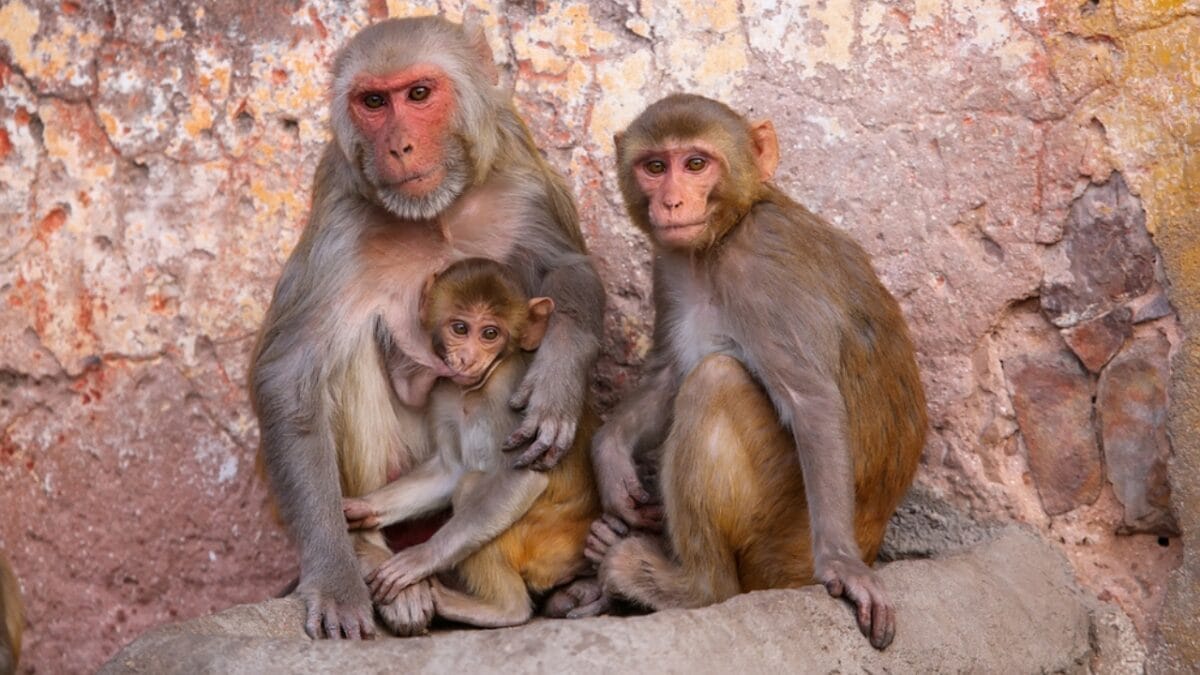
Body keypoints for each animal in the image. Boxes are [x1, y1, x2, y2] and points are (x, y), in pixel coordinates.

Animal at [342, 257, 600, 629]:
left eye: (490, 333)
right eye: (460, 328)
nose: (466, 358)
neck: (477, 389)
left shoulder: (510, 392)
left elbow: (522, 477)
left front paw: (419, 558)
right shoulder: (444, 394)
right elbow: (450, 470)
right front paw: (363, 508)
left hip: (547, 543)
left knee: (474, 486)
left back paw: (501, 609)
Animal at [585, 94, 926, 650]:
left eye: (695, 164)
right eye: (655, 167)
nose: (672, 202)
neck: (720, 240)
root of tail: (875, 538)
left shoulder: (764, 271)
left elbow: (811, 402)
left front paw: (842, 565)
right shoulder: (669, 265)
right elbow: (668, 374)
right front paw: (611, 457)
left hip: (782, 541)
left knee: (715, 381)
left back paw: (688, 585)